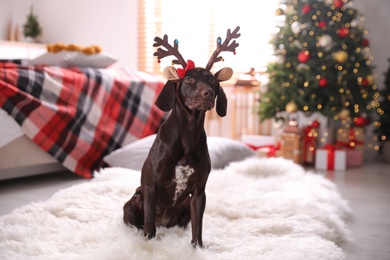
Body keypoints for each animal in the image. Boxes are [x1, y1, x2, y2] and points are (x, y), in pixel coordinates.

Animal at [122, 26, 239, 248]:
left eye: (212, 80)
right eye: (189, 79)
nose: (209, 93)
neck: (188, 133)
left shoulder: (199, 192)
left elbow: (197, 228)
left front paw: (198, 249)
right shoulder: (150, 188)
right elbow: (149, 227)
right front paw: (148, 245)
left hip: (184, 208)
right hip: (133, 202)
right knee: (139, 224)